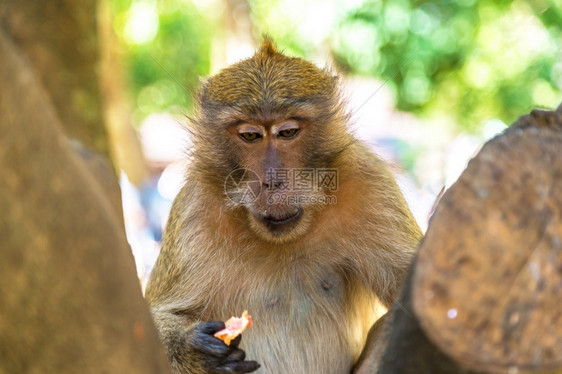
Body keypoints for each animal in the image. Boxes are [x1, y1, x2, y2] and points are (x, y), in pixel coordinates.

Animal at [144, 38, 420, 374]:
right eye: (250, 135)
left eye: (287, 132)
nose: (272, 181)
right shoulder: (192, 212)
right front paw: (190, 349)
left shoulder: (373, 187)